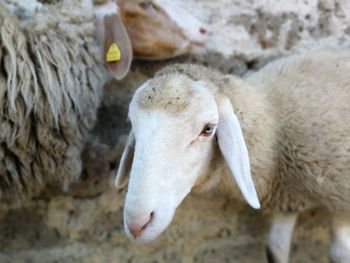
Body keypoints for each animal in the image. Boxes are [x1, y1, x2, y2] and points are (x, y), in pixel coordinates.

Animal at [116, 48, 350, 262]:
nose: (137, 224)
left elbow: (340, 253)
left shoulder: (340, 203)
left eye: (208, 129)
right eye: (131, 123)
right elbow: (275, 249)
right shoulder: (287, 201)